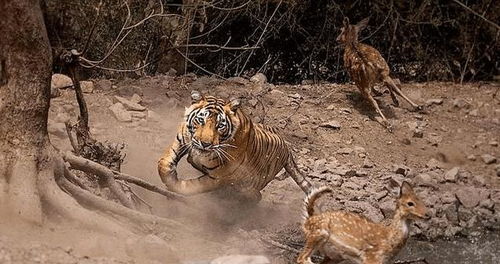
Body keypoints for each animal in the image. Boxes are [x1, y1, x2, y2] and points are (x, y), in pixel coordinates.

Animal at [158, 90, 310, 202]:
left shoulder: (219, 177)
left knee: (255, 196)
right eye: (201, 120)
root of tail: (287, 147)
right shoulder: (180, 141)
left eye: (220, 126)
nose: (205, 144)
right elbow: (163, 164)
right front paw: (170, 178)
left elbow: (193, 186)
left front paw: (175, 187)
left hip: (250, 185)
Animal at [296, 182, 430, 264]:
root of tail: (308, 219)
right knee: (301, 258)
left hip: (334, 255)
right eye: (410, 203)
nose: (428, 214)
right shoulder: (371, 257)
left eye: (422, 201)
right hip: (318, 232)